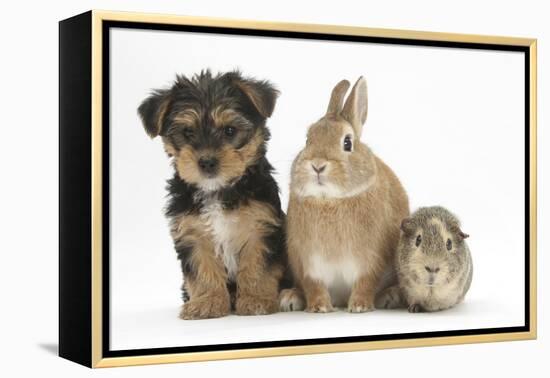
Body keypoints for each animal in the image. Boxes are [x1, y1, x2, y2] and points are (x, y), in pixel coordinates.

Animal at [139, 69, 288, 318]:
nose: (207, 161)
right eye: (188, 132)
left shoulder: (260, 226)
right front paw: (207, 302)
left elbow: (256, 265)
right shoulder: (192, 233)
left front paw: (256, 299)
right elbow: (203, 269)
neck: (217, 189)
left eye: (229, 131)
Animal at [284, 77, 410, 314]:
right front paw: (319, 307)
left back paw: (390, 297)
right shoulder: (307, 261)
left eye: (347, 142)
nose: (317, 165)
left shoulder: (371, 259)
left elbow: (366, 282)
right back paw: (291, 297)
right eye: (308, 139)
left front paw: (360, 306)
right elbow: (314, 285)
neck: (330, 200)